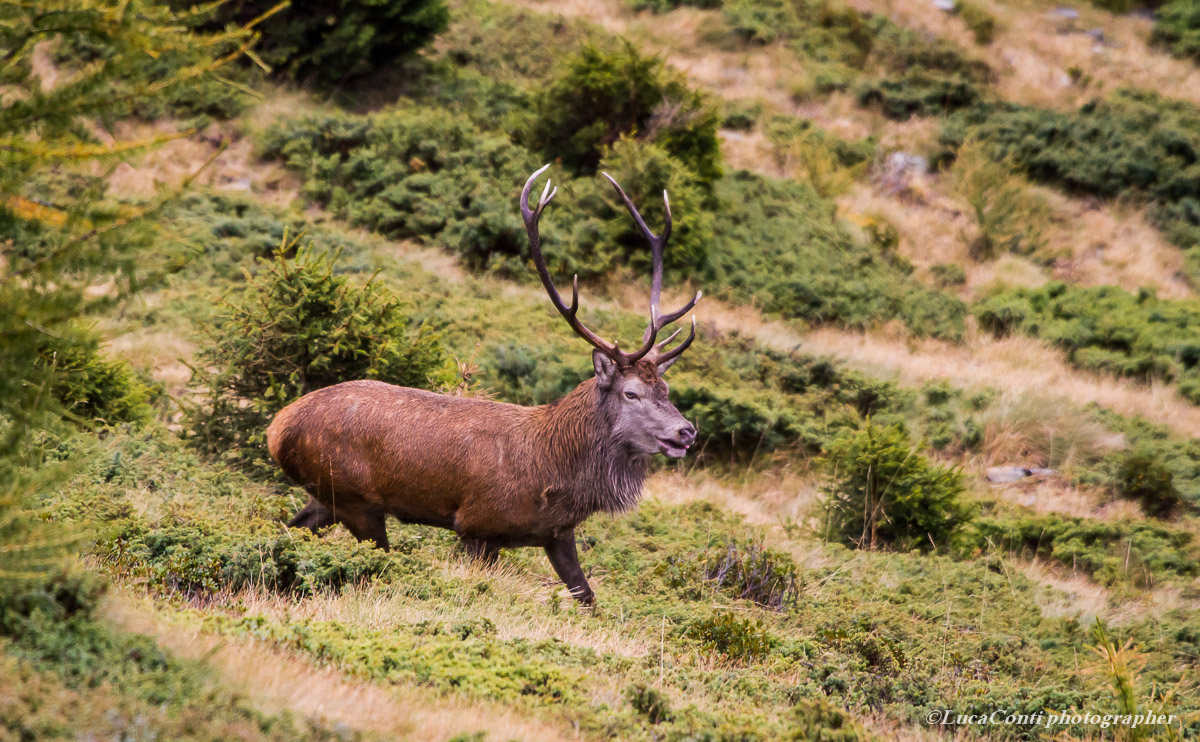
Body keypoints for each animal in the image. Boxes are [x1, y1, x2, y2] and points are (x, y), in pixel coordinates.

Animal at [265, 165, 701, 605]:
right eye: (631, 393)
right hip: (357, 501)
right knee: (375, 561)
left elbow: (588, 597)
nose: (686, 431)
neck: (555, 475)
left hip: (326, 496)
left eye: (666, 391)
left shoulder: (558, 534)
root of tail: (276, 429)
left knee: (290, 530)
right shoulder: (478, 526)